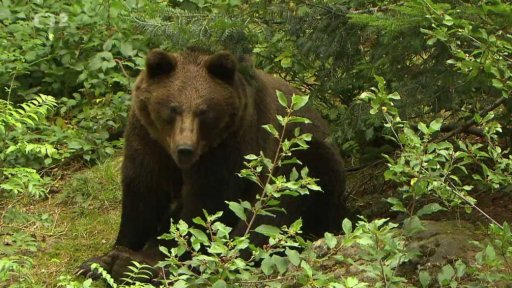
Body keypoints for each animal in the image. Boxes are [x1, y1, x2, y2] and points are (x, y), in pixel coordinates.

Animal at [76, 47, 348, 282]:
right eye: (172, 108)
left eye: (204, 110)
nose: (185, 148)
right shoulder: (147, 139)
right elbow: (143, 194)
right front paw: (100, 260)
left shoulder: (230, 146)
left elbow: (206, 206)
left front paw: (144, 262)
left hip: (305, 159)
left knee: (274, 213)